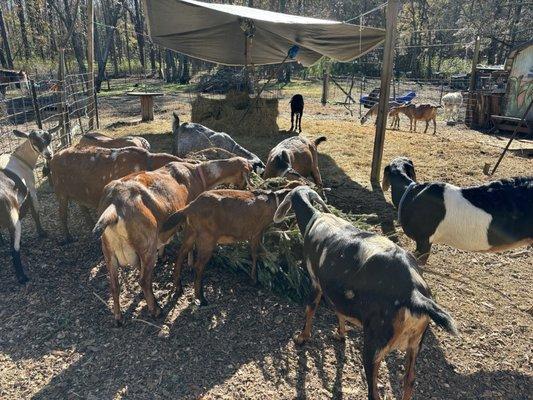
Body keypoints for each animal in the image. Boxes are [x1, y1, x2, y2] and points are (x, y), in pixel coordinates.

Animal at [0, 130, 54, 282]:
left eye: (49, 138)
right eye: (34, 140)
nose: (49, 154)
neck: (20, 159)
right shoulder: (31, 189)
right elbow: (35, 211)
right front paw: (42, 233)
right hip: (13, 219)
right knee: (14, 250)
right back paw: (22, 277)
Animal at [48, 145, 185, 242]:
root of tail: (53, 158)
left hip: (78, 194)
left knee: (83, 209)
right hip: (61, 192)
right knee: (62, 214)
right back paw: (68, 238)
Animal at [92, 156, 252, 324]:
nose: (246, 187)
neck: (198, 173)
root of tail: (114, 205)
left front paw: (164, 256)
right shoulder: (188, 220)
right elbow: (187, 247)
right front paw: (189, 265)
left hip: (108, 251)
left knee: (115, 285)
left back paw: (119, 318)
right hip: (147, 245)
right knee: (143, 280)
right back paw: (156, 310)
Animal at [274, 186, 458, 400]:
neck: (315, 219)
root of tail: (414, 294)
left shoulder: (315, 281)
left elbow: (310, 309)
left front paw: (302, 337)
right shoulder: (339, 290)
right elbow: (339, 311)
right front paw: (340, 334)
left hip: (375, 342)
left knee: (374, 392)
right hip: (415, 343)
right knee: (409, 380)